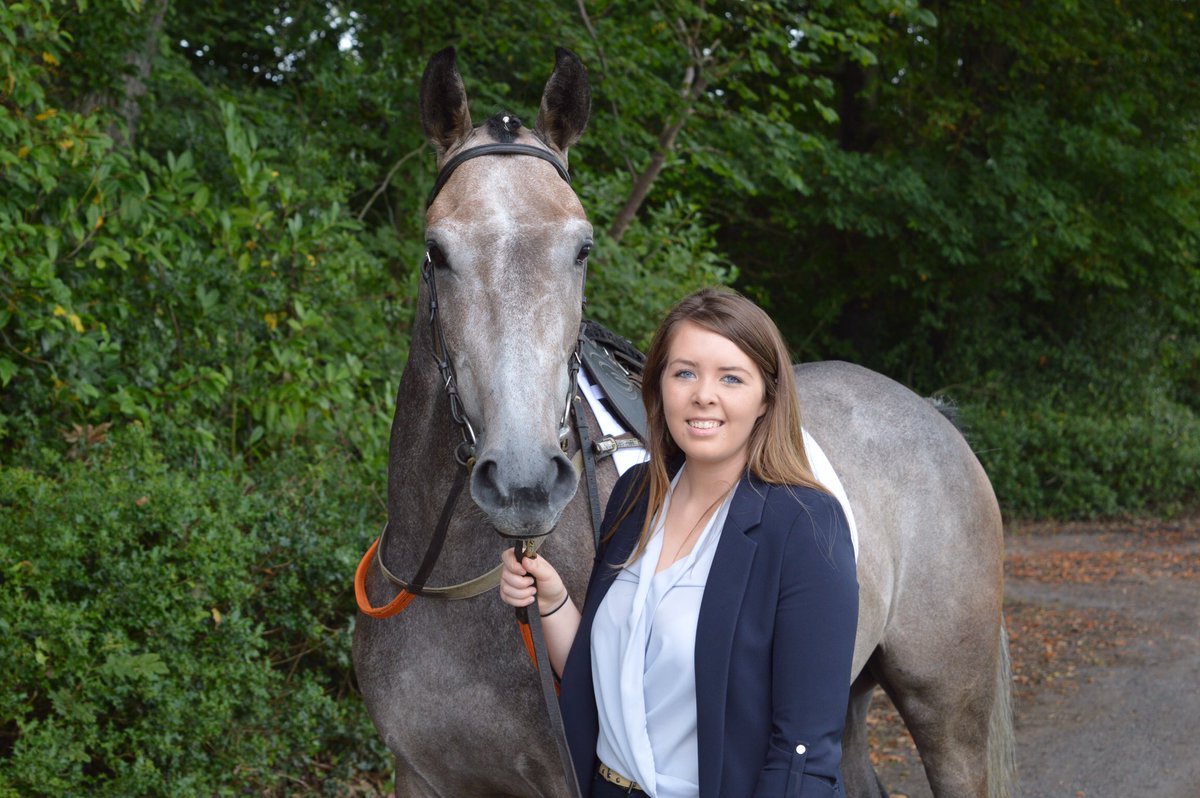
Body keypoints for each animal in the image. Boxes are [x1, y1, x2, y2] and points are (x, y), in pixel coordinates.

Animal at [353, 47, 1015, 798]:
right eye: (437, 250)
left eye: (582, 249)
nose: (524, 483)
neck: (453, 587)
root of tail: (933, 415)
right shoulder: (420, 775)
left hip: (949, 710)